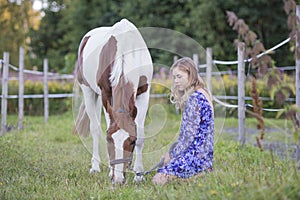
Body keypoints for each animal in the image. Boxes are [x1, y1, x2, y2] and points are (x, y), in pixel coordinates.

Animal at [72, 19, 152, 184]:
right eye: (109, 140)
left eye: (132, 141)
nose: (118, 180)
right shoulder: (106, 94)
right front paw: (110, 171)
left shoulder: (144, 92)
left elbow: (141, 134)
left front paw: (139, 174)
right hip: (88, 91)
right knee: (95, 129)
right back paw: (95, 166)